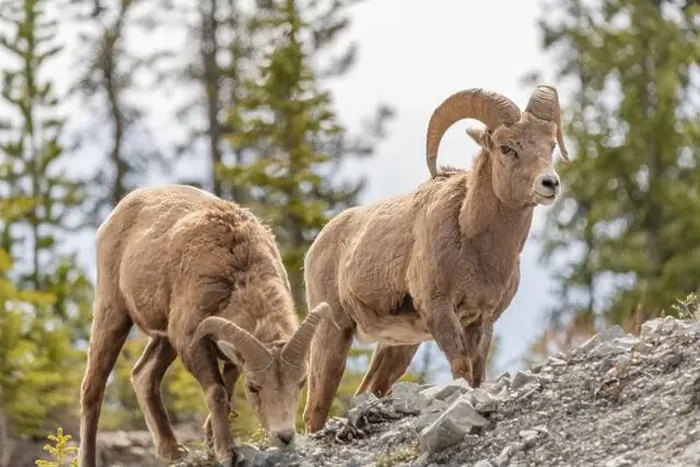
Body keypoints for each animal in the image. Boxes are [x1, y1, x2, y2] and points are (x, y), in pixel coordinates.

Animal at [77, 184, 330, 467]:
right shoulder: (193, 343)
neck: (237, 276)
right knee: (93, 388)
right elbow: (217, 393)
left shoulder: (228, 356)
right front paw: (226, 452)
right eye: (254, 387)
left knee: (143, 376)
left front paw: (212, 448)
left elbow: (227, 393)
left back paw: (173, 451)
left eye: (301, 383)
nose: (284, 437)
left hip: (165, 339)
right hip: (113, 312)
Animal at [301, 85, 570, 433]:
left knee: (368, 389)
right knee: (315, 410)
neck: (474, 243)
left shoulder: (483, 320)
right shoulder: (440, 310)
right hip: (333, 335)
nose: (550, 184)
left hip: (399, 347)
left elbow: (477, 373)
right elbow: (462, 368)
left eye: (550, 145)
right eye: (506, 148)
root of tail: (319, 243)